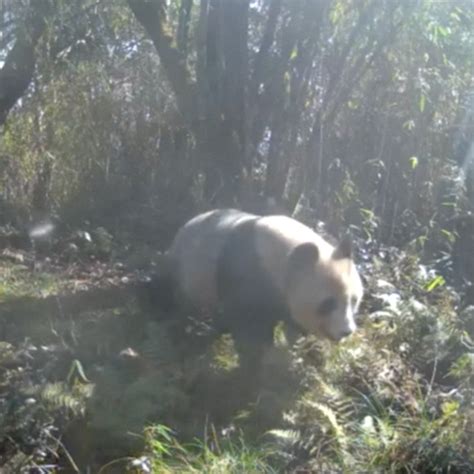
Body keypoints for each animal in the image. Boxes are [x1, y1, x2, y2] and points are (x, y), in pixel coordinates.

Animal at [152, 209, 362, 376]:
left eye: (354, 301)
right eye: (328, 303)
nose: (346, 331)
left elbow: (292, 326)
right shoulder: (249, 275)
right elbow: (249, 326)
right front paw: (257, 365)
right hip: (186, 273)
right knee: (174, 301)